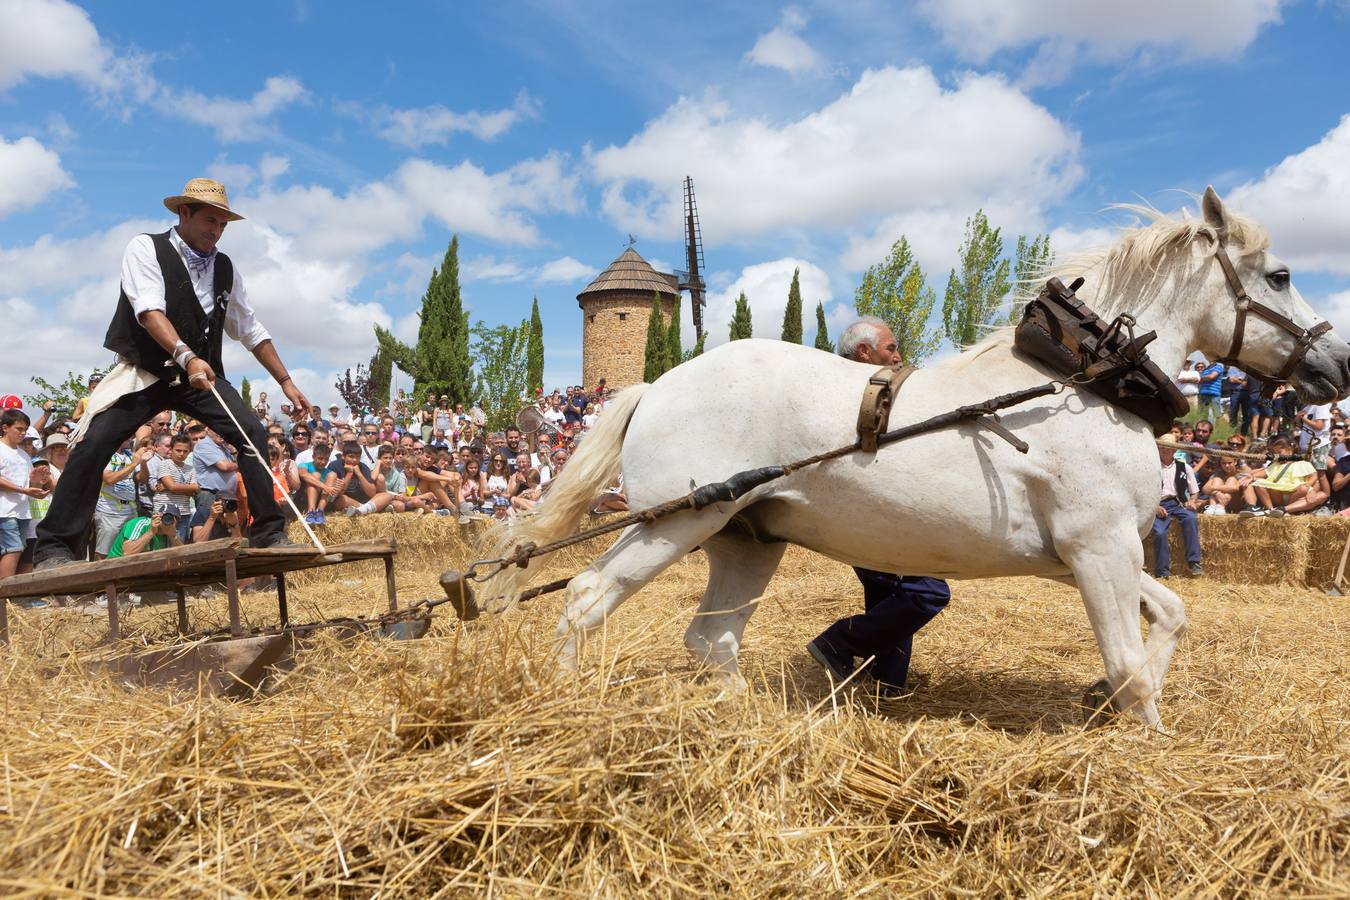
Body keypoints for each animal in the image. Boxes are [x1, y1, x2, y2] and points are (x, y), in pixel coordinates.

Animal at [486, 186, 1350, 728]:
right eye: (1280, 274)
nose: (1336, 364)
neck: (1083, 383)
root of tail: (657, 385)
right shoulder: (1099, 548)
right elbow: (1133, 663)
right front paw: (1143, 735)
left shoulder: (1094, 554)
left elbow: (1169, 615)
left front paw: (1104, 704)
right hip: (675, 524)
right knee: (587, 597)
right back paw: (562, 698)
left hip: (745, 540)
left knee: (712, 640)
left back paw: (747, 717)